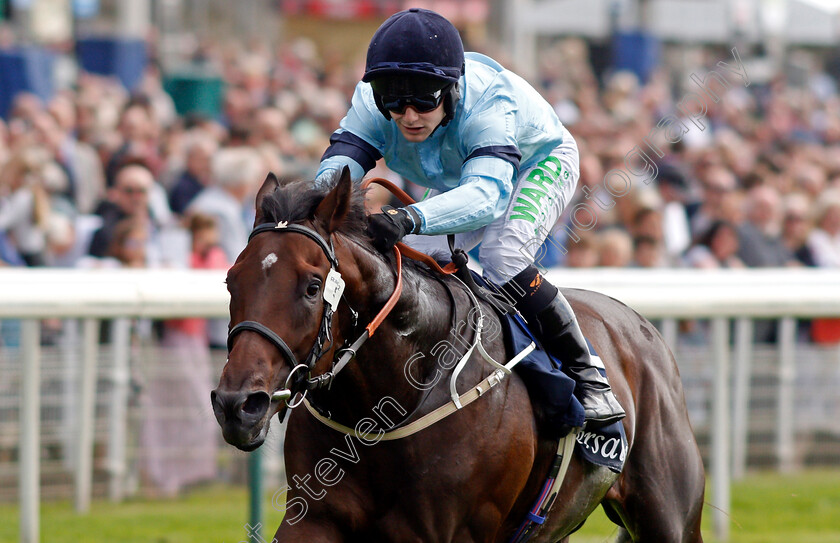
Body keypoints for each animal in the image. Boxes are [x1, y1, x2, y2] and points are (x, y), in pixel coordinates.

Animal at [213, 168, 704, 540]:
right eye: (230, 280)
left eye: (313, 287)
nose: (238, 404)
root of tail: (642, 325)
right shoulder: (315, 517)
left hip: (670, 517)